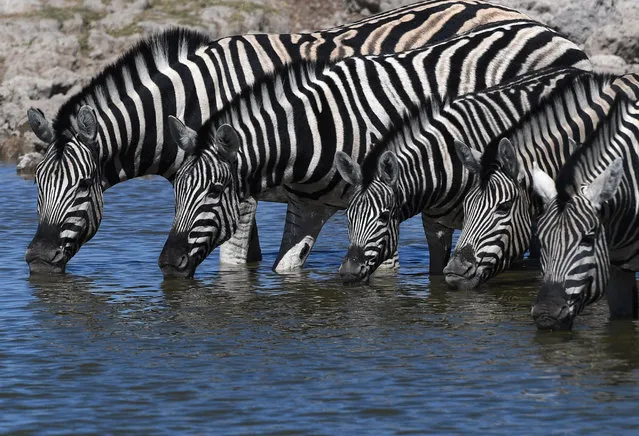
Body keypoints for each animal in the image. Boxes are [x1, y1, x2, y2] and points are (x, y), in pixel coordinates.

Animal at [25, 0, 544, 274]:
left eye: (83, 186)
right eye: (38, 188)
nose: (34, 259)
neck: (200, 99)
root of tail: (534, 22)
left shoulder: (241, 186)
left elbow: (234, 263)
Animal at [338, 66, 588, 282]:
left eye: (384, 216)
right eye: (348, 216)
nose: (349, 272)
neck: (441, 165)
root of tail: (577, 70)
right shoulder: (435, 226)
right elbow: (437, 274)